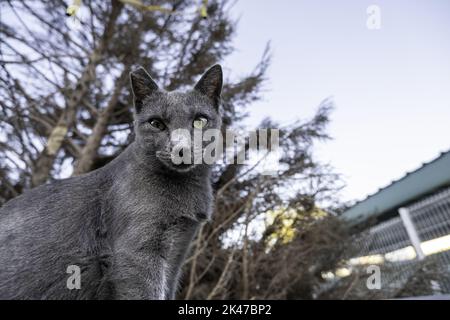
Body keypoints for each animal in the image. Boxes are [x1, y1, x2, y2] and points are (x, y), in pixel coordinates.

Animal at [0, 63, 223, 298]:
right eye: (156, 123)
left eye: (199, 120)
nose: (182, 148)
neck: (186, 188)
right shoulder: (136, 255)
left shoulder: (177, 255)